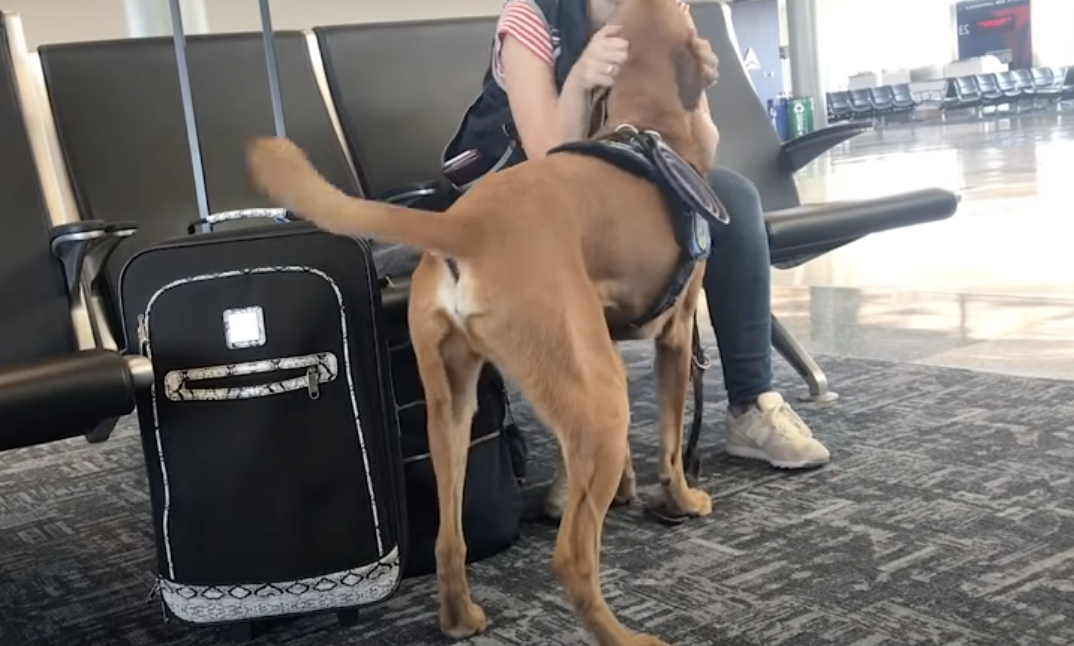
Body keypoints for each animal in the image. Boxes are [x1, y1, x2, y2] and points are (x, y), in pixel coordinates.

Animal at [247, 1, 719, 643]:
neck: (651, 122)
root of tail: (465, 226)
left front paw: (625, 490)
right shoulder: (675, 335)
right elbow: (670, 446)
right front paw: (683, 501)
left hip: (451, 409)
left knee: (450, 541)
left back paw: (460, 617)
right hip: (600, 400)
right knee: (573, 557)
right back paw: (624, 636)